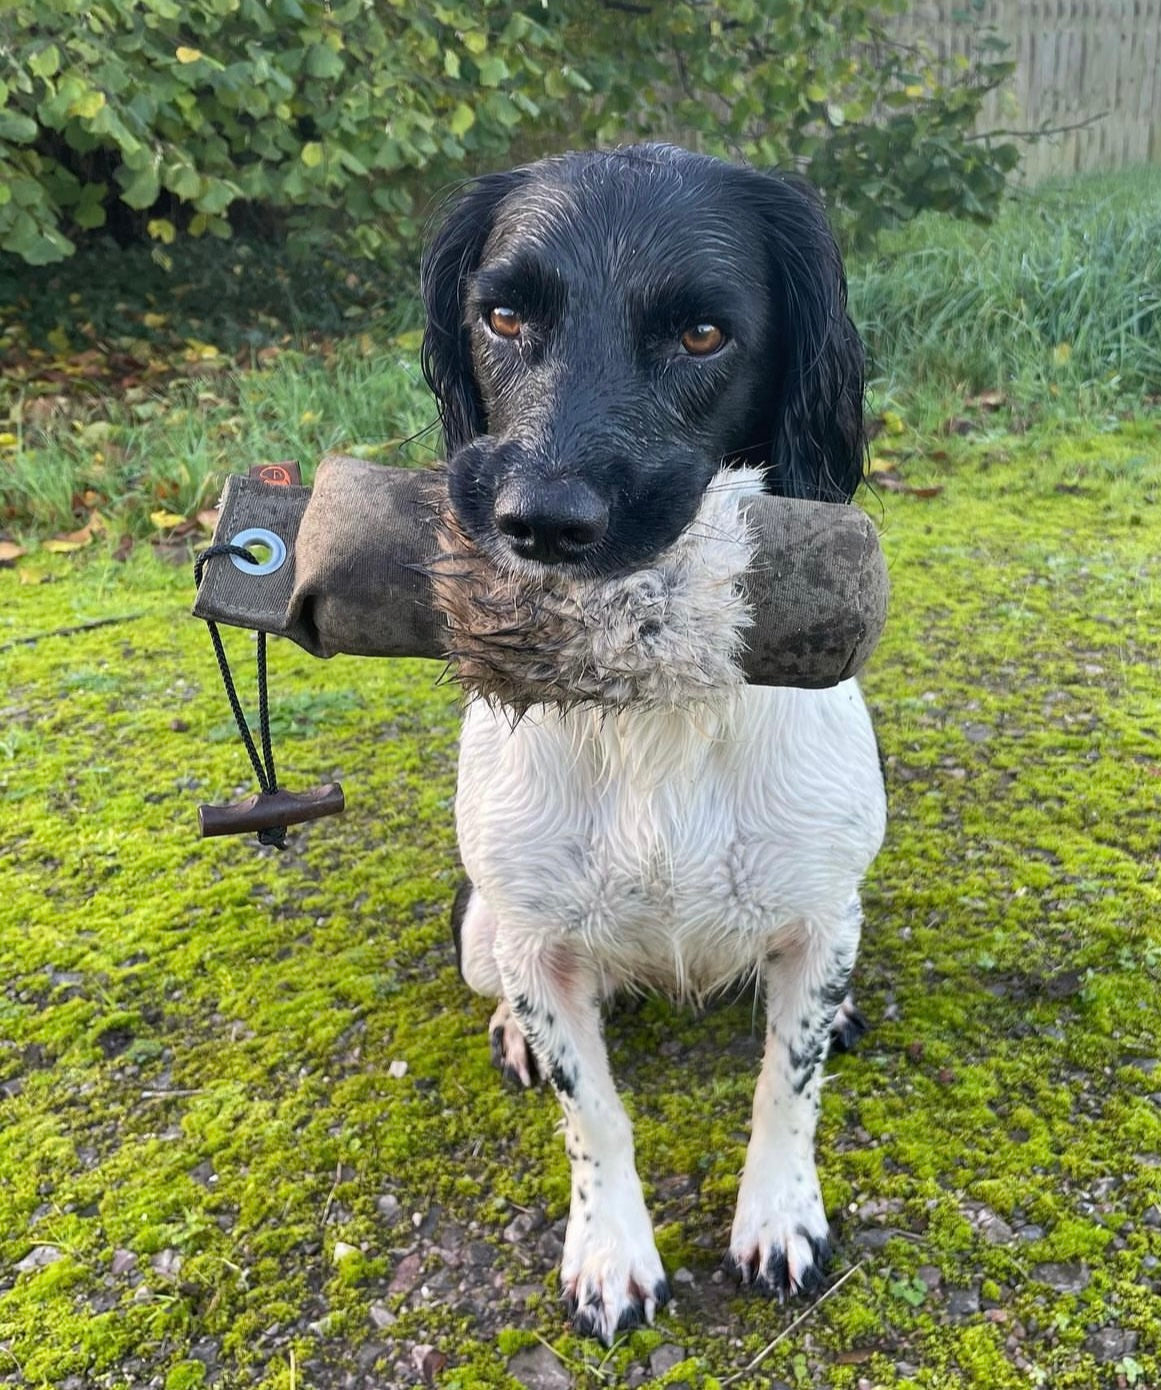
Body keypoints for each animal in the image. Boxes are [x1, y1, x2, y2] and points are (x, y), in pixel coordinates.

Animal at [422, 143, 884, 1345]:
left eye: (704, 334)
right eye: (500, 315)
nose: (540, 520)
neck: (653, 708)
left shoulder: (822, 912)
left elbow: (787, 1082)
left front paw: (779, 1217)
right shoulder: (536, 935)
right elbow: (593, 1114)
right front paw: (611, 1252)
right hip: (480, 925)